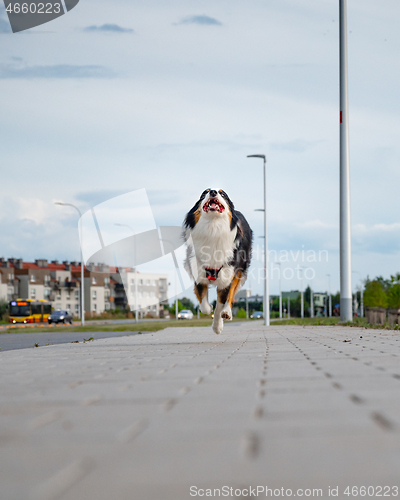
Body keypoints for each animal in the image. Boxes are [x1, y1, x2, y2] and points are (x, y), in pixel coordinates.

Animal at [183, 189, 252, 334]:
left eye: (223, 194)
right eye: (204, 193)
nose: (214, 192)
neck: (213, 227)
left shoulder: (225, 278)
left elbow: (221, 303)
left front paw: (217, 326)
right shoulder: (199, 273)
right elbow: (203, 303)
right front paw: (208, 308)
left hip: (238, 270)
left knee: (232, 293)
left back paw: (227, 312)